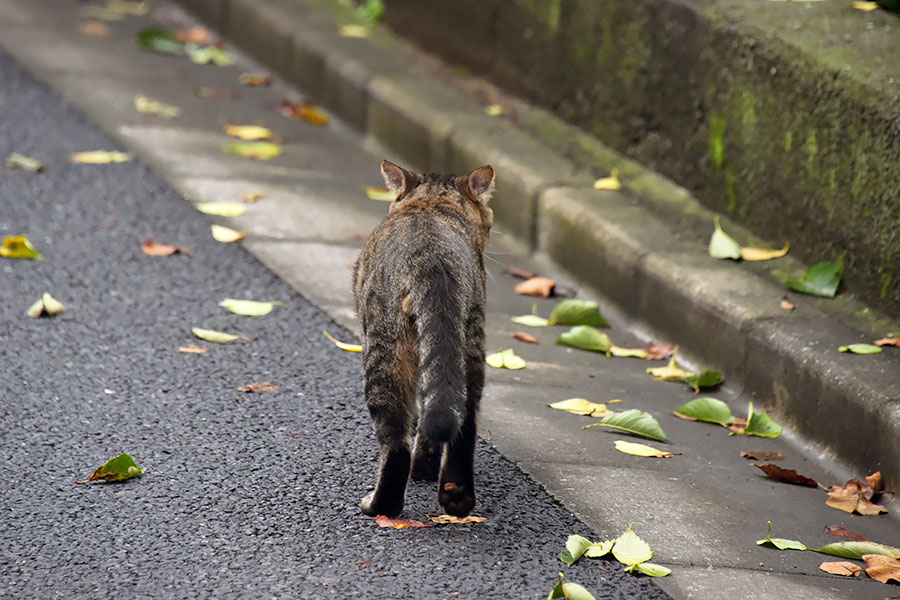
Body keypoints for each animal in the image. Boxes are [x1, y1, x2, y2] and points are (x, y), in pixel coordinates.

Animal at [352, 162, 496, 516]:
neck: (431, 205)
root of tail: (432, 260)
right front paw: (427, 469)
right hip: (468, 344)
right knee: (463, 421)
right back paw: (456, 497)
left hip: (384, 351)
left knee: (396, 443)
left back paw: (380, 506)